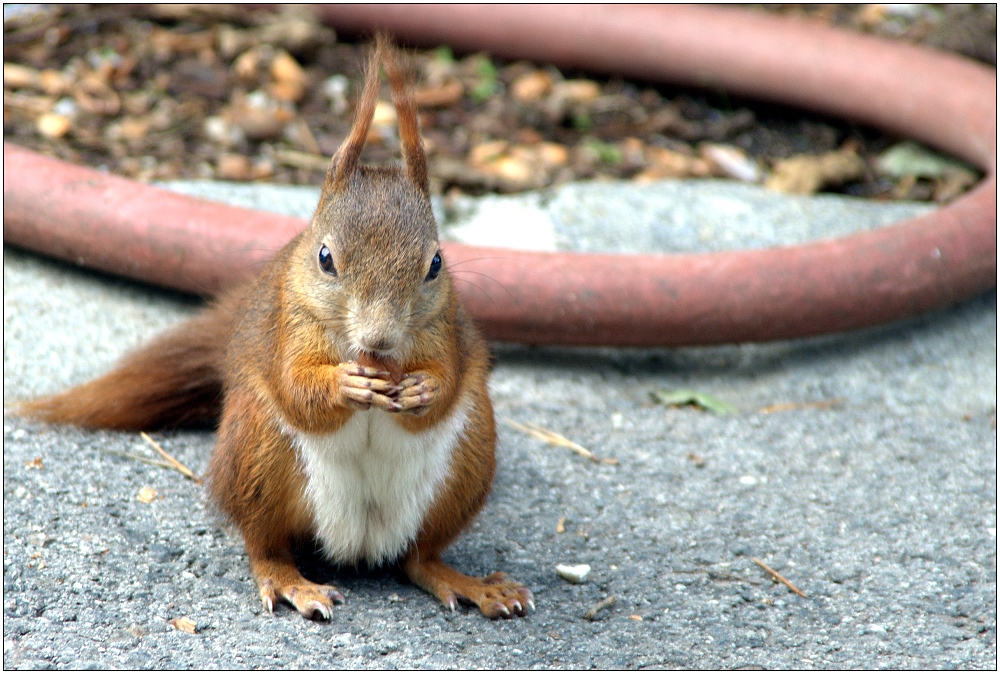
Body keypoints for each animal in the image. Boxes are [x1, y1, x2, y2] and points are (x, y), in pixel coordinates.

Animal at [19, 36, 536, 620]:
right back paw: (292, 582)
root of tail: (360, 545)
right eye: (325, 258)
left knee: (420, 557)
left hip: (468, 460)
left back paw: (472, 584)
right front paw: (343, 383)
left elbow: (445, 382)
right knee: (264, 543)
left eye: (436, 265)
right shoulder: (286, 328)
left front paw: (423, 387)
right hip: (258, 453)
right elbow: (296, 387)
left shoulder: (445, 331)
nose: (378, 340)